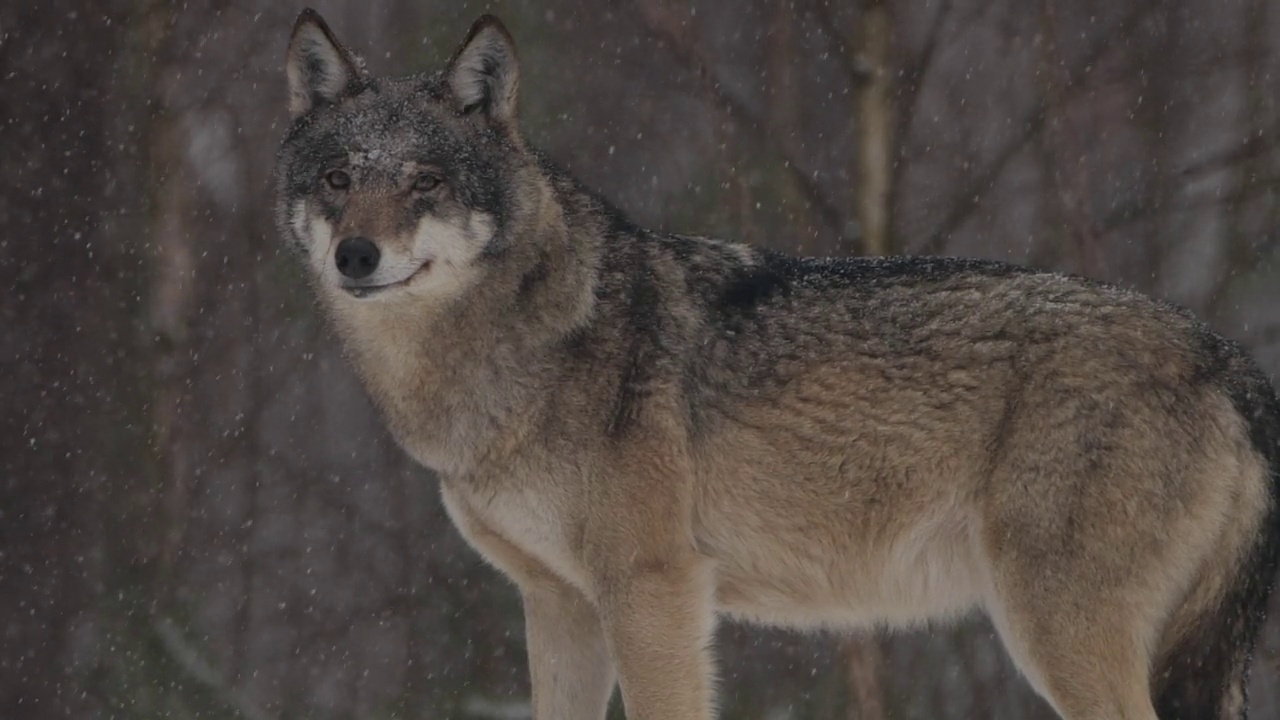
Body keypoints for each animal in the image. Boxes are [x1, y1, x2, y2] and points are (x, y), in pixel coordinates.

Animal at [272, 9, 1280, 717]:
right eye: (337, 180)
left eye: (424, 183)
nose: (355, 256)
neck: (524, 346)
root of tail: (1224, 354)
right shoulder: (559, 605)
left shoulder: (655, 591)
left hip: (1059, 632)